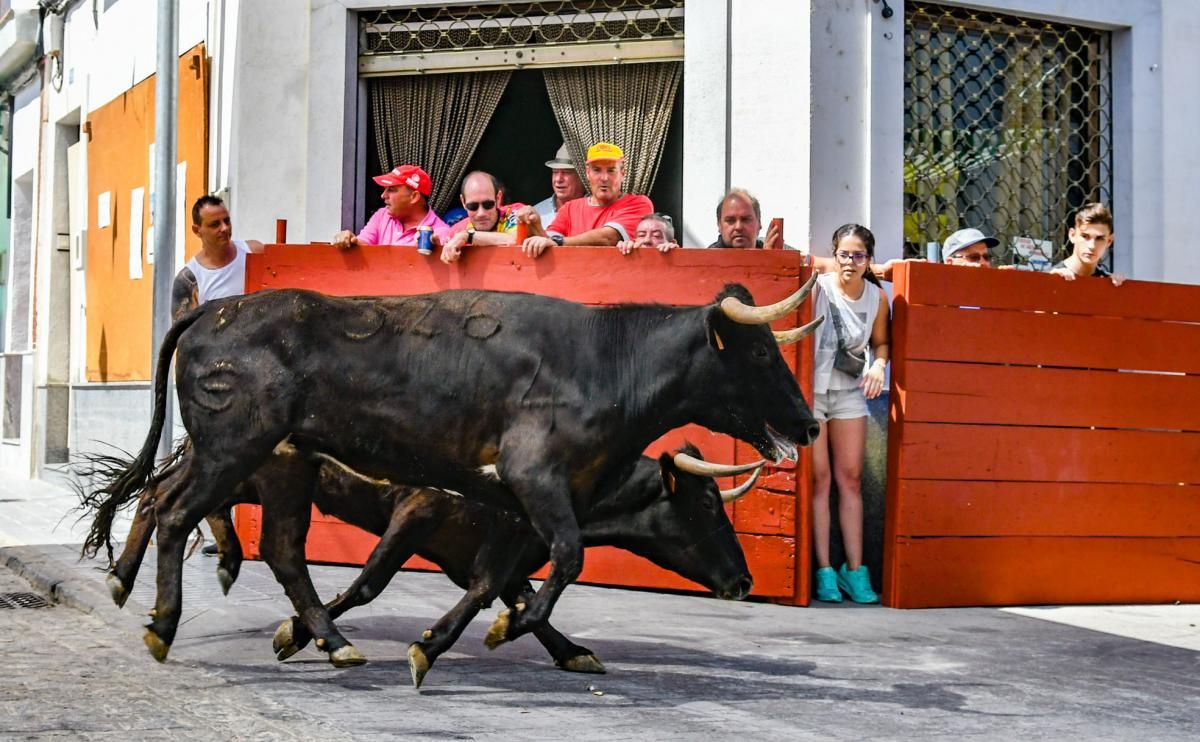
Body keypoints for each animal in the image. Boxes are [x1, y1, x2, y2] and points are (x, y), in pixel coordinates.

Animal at [79, 278, 820, 662]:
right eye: (759, 352)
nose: (811, 424)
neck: (606, 363)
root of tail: (214, 307)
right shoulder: (524, 482)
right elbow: (567, 558)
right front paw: (501, 633)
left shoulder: (511, 516)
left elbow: (503, 581)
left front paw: (465, 641)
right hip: (239, 448)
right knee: (183, 513)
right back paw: (165, 623)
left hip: (248, 458)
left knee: (188, 508)